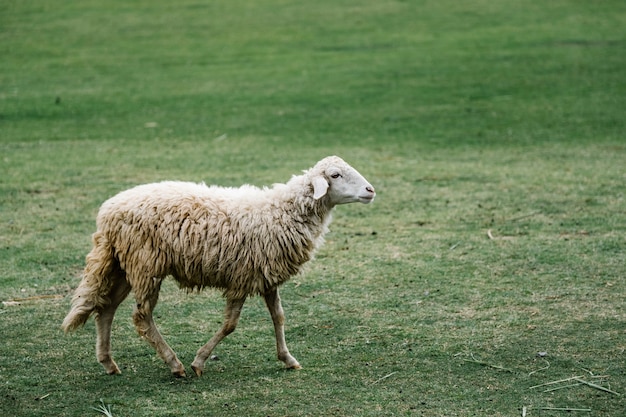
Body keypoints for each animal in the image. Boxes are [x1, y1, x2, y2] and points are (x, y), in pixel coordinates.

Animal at [62, 154, 376, 376]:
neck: (281, 212)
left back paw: (109, 363)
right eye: (335, 175)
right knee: (141, 317)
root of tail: (107, 212)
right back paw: (174, 364)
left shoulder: (266, 276)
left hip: (125, 265)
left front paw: (288, 358)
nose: (371, 190)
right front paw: (199, 362)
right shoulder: (242, 278)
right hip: (145, 265)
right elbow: (230, 325)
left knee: (106, 309)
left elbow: (279, 317)